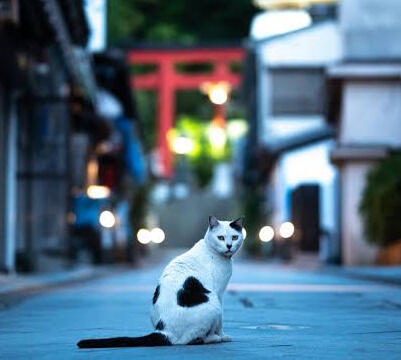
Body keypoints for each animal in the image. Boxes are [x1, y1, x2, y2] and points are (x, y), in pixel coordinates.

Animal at [76, 215, 242, 348]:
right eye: (221, 238)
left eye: (234, 237)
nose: (229, 246)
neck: (212, 251)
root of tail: (164, 331)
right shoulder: (219, 293)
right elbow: (221, 322)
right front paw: (223, 335)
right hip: (213, 303)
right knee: (187, 340)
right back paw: (213, 338)